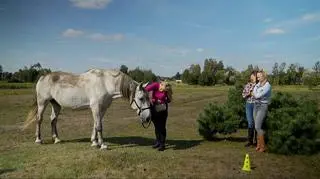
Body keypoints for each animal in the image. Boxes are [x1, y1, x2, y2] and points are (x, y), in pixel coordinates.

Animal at [23, 68, 151, 149]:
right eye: (141, 98)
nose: (148, 118)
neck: (105, 83)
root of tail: (43, 77)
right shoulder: (96, 107)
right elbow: (99, 126)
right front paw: (102, 145)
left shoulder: (102, 109)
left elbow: (95, 124)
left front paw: (94, 142)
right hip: (42, 102)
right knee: (39, 119)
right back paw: (38, 140)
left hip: (56, 104)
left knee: (53, 120)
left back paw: (57, 139)